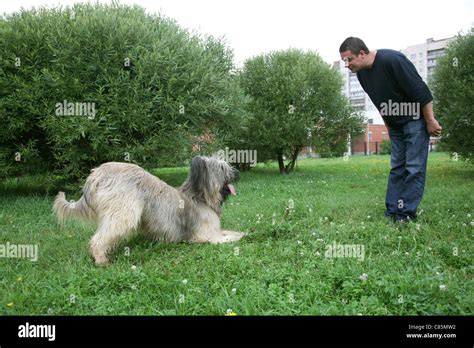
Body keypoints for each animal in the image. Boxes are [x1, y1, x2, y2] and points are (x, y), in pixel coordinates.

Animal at [52, 156, 244, 266]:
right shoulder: (207, 236)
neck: (200, 197)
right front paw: (243, 236)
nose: (237, 173)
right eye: (221, 168)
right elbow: (231, 237)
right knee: (99, 238)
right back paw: (101, 260)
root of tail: (97, 173)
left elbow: (231, 231)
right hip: (124, 212)